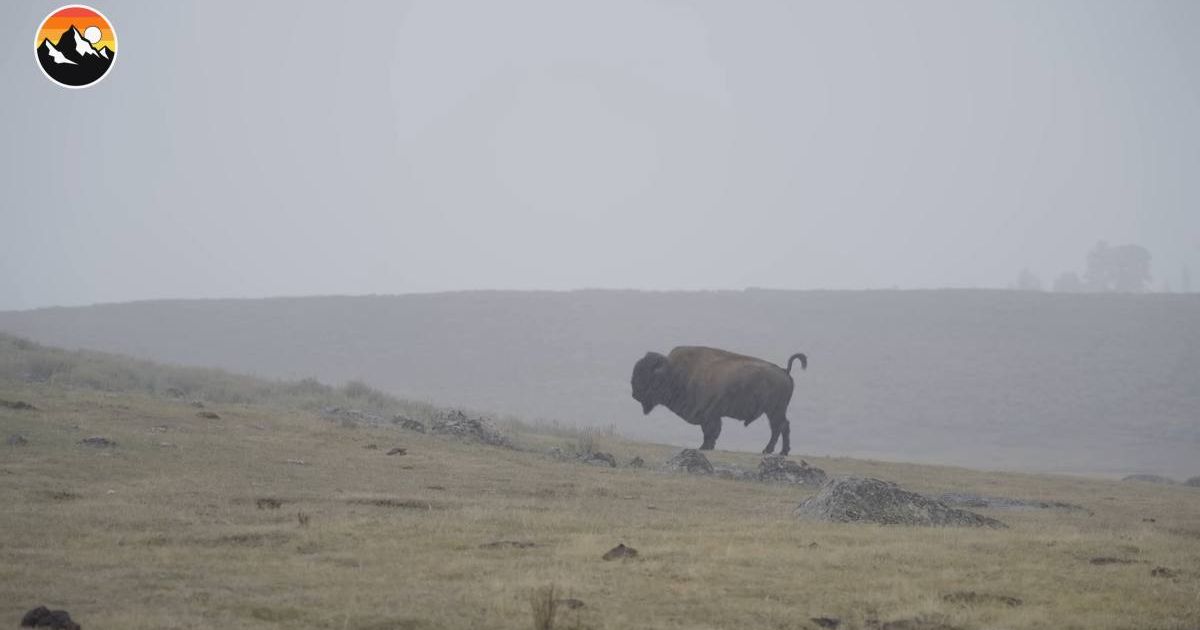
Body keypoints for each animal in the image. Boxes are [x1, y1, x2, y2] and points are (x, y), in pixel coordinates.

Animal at [631, 346, 807, 455]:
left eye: (646, 375)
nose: (634, 394)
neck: (674, 372)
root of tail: (784, 370)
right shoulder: (710, 416)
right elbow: (710, 433)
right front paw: (707, 447)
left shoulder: (709, 416)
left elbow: (710, 432)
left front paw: (704, 448)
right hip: (774, 411)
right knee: (781, 427)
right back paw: (779, 452)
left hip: (774, 411)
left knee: (779, 427)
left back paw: (772, 451)